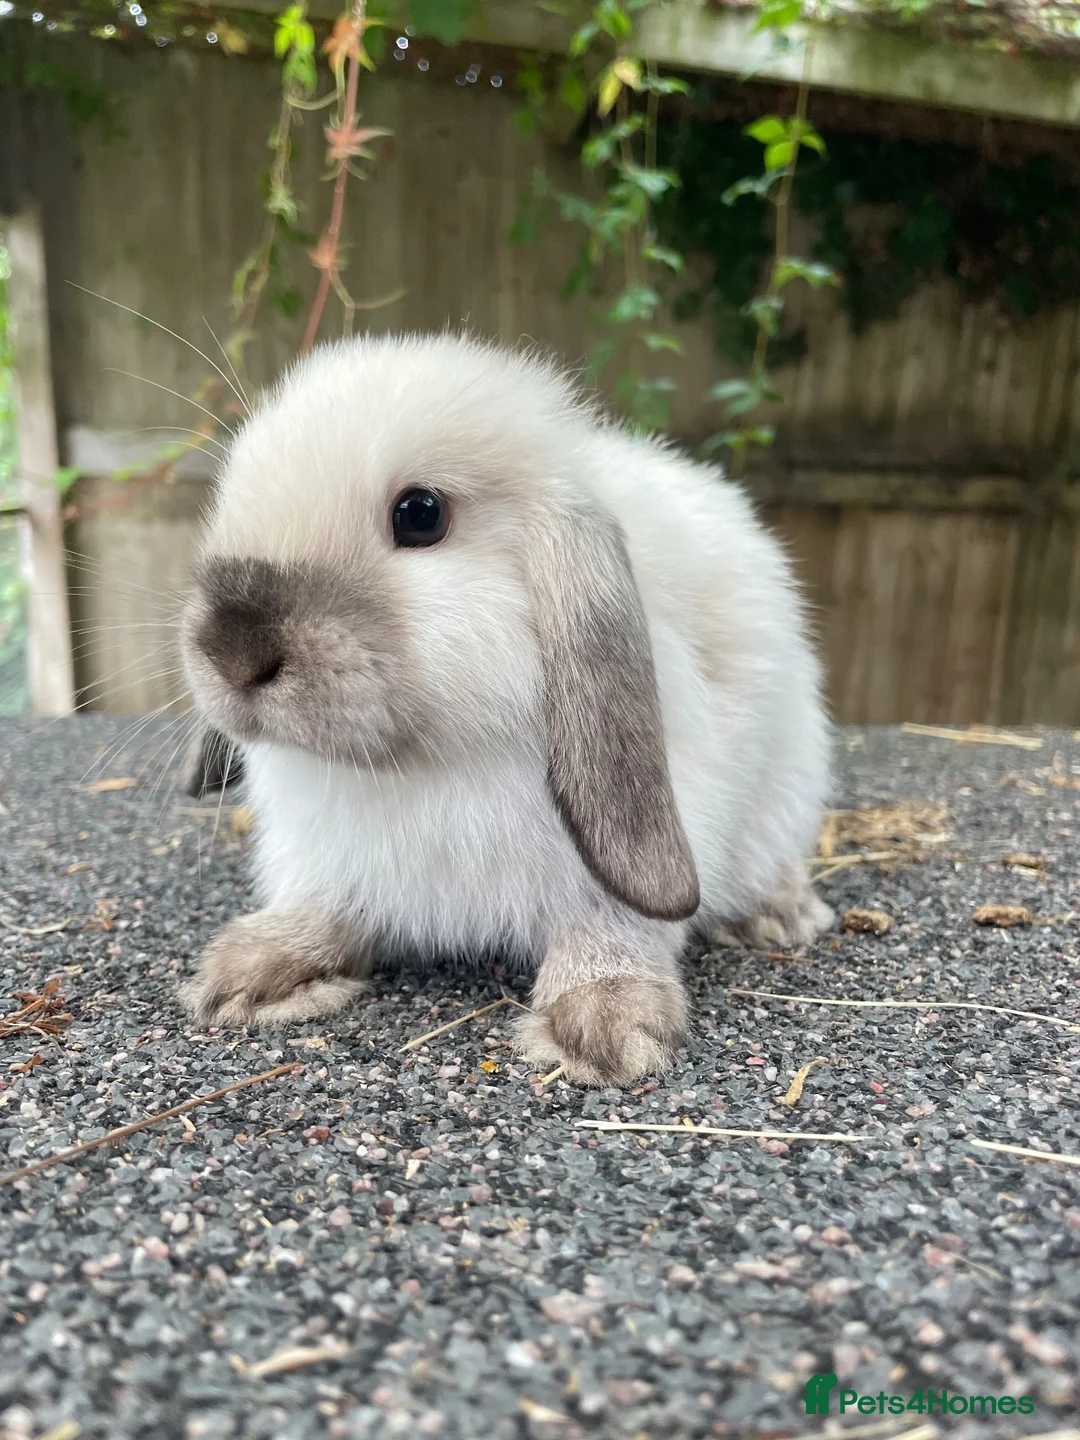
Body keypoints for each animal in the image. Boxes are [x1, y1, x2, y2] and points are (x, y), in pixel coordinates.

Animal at [178, 331, 832, 1086]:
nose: (231, 649)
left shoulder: (641, 841)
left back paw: (781, 914)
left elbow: (611, 924)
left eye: (421, 514)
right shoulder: (321, 860)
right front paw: (253, 971)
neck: (419, 766)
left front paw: (602, 1023)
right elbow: (323, 910)